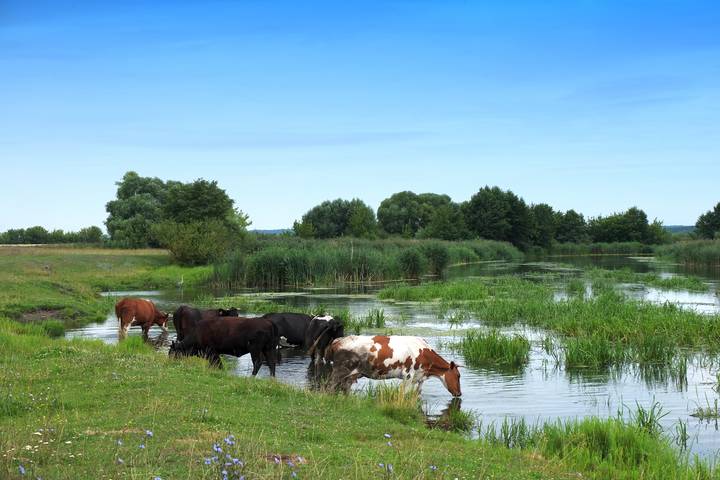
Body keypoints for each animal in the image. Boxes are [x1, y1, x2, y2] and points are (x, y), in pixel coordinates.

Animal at [324, 335, 461, 397]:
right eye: (458, 376)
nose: (459, 393)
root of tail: (338, 340)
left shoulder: (419, 377)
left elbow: (418, 393)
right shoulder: (408, 375)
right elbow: (404, 393)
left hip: (351, 375)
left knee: (344, 388)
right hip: (339, 371)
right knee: (329, 386)